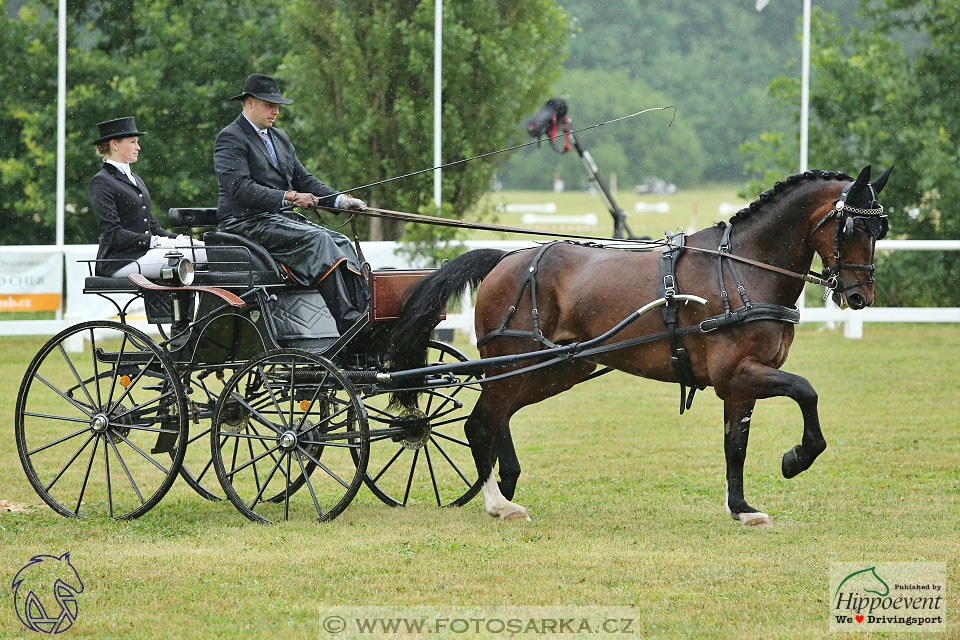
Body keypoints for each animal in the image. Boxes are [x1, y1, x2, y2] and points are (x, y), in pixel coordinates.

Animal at [386, 165, 888, 524]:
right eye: (852, 229)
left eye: (879, 229)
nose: (859, 297)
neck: (743, 268)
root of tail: (505, 259)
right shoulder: (738, 373)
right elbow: (806, 391)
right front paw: (796, 458)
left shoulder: (740, 384)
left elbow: (736, 444)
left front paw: (742, 508)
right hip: (518, 364)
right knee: (479, 424)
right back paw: (497, 504)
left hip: (554, 368)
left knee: (497, 418)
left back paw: (506, 486)